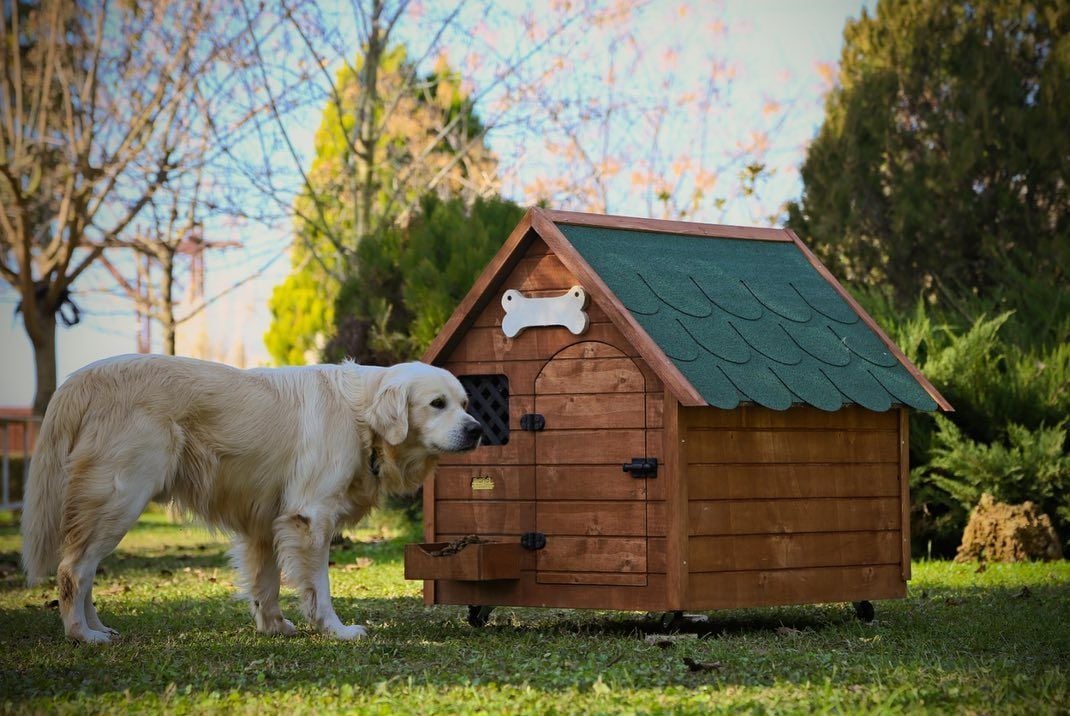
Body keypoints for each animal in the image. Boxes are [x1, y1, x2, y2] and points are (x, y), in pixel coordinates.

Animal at [19, 355, 481, 642]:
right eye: (437, 404)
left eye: (464, 403)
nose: (477, 429)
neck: (361, 414)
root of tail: (80, 379)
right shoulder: (310, 518)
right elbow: (319, 587)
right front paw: (336, 630)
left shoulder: (266, 522)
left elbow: (266, 583)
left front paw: (274, 627)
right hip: (121, 496)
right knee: (73, 570)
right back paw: (82, 635)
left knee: (85, 572)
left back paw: (100, 628)